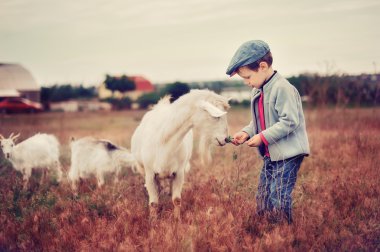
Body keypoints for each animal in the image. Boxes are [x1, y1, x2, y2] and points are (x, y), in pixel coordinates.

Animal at [131, 90, 230, 219]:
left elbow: (177, 199)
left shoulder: (178, 173)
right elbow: (153, 202)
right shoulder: (149, 174)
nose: (225, 139)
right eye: (216, 116)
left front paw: (176, 219)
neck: (164, 141)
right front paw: (153, 220)